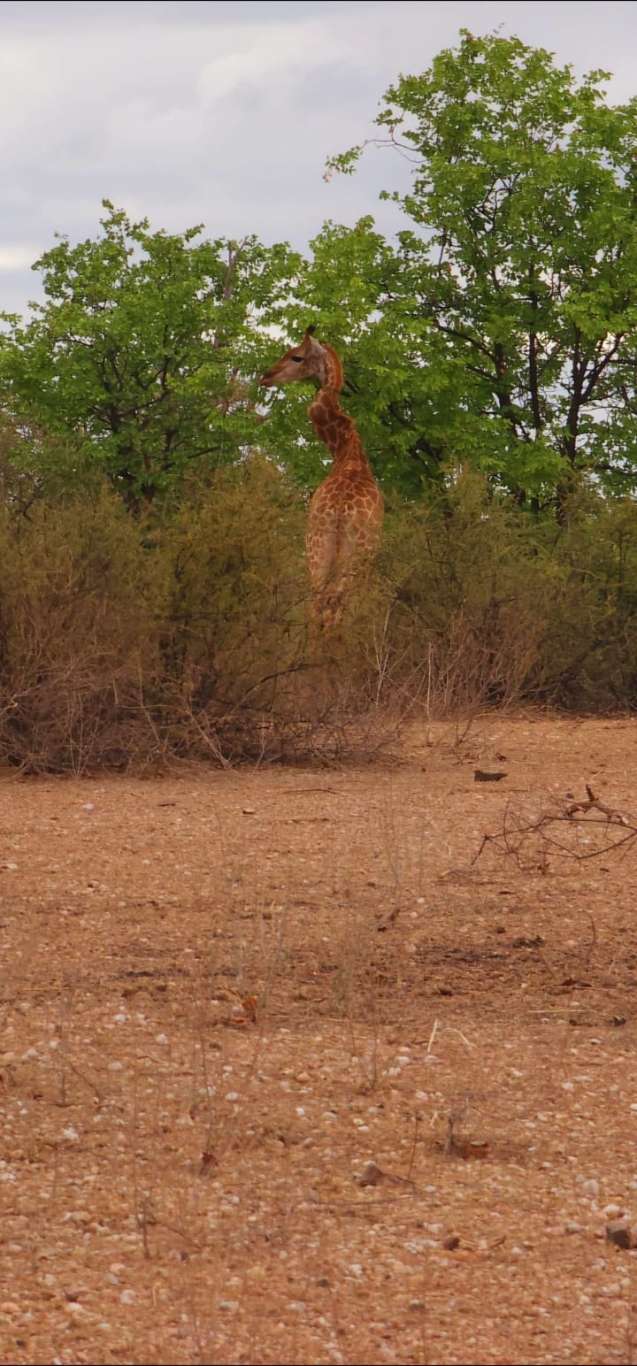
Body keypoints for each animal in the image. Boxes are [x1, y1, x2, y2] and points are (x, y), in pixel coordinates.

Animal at [259, 327, 383, 628]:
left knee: (317, 606)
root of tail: (339, 512)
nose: (266, 376)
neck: (345, 451)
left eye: (296, 356)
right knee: (333, 608)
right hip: (351, 556)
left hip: (317, 549)